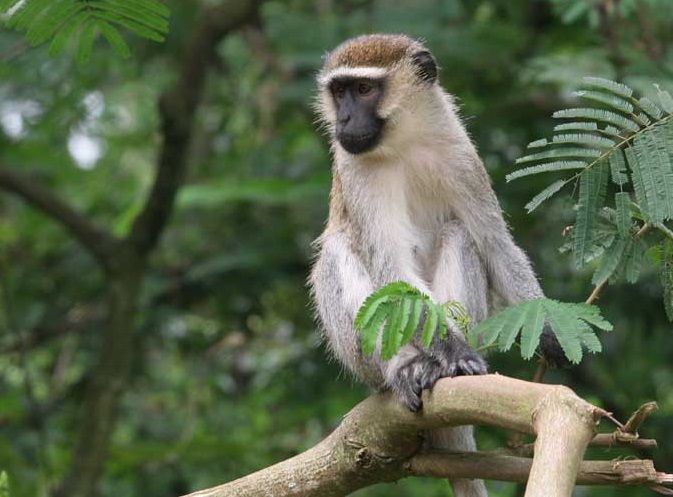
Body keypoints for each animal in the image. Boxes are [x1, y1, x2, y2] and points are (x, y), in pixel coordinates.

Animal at [309, 34, 566, 497]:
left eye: (364, 89)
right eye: (339, 92)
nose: (345, 118)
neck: (405, 141)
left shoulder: (461, 154)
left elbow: (495, 244)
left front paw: (549, 331)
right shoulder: (354, 169)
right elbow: (391, 272)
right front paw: (455, 354)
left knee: (461, 234)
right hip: (363, 360)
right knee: (337, 253)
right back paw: (409, 368)